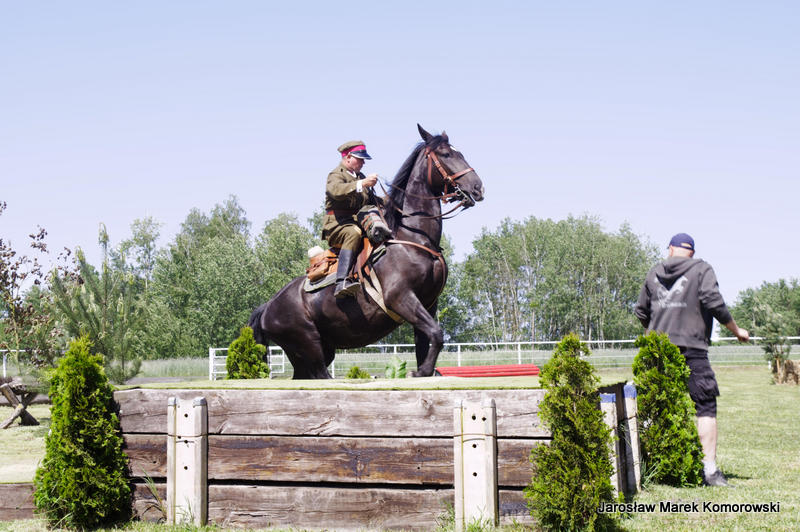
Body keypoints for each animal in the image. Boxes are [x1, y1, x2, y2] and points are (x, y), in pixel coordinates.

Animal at [248, 125, 485, 378]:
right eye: (446, 154)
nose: (477, 187)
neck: (412, 238)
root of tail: (267, 307)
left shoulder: (429, 303)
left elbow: (426, 340)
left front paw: (425, 371)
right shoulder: (401, 298)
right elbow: (436, 334)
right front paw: (421, 372)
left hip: (312, 352)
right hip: (309, 346)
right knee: (322, 375)